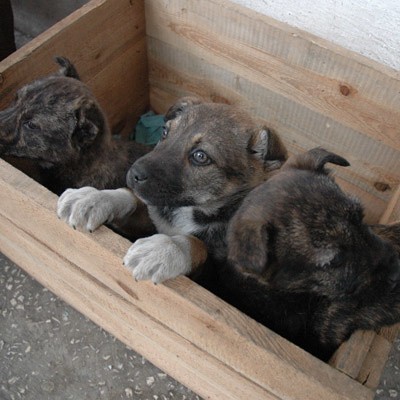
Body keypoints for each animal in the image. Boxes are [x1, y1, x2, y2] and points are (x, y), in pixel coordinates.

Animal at [57, 96, 288, 282]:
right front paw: (92, 198)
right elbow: (131, 197)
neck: (191, 210)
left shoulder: (213, 274)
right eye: (165, 131)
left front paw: (164, 249)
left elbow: (196, 243)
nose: (133, 174)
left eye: (200, 156)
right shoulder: (151, 217)